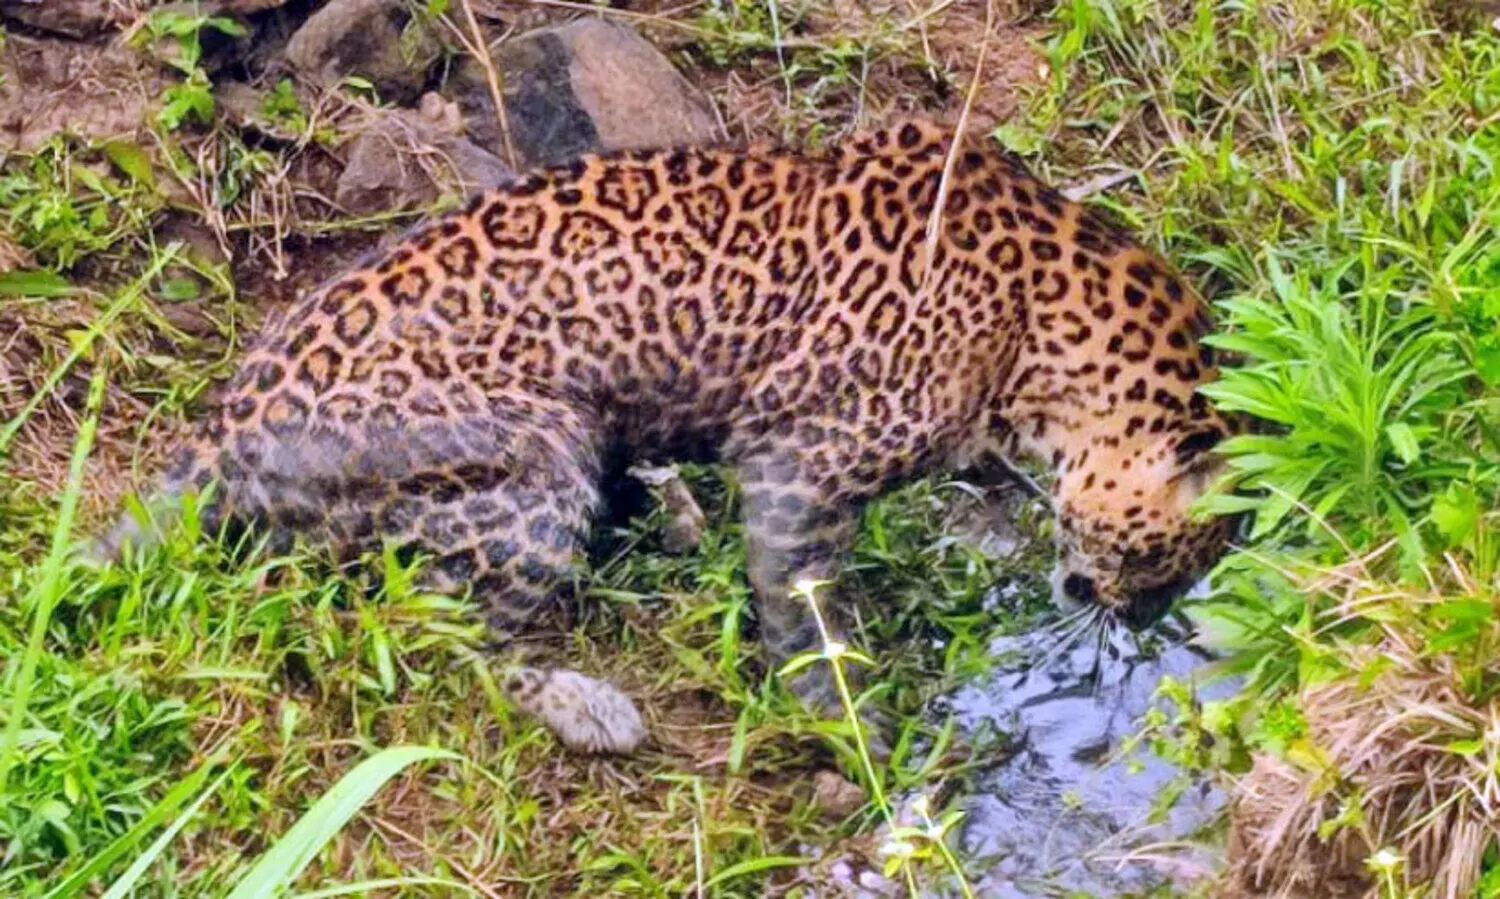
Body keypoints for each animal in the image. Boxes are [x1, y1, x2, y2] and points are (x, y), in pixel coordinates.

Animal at [93, 120, 1241, 753]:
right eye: (1164, 559)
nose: (1136, 617)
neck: (1043, 336)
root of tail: (225, 427)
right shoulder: (799, 468)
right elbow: (807, 616)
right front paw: (856, 735)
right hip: (533, 458)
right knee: (427, 631)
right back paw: (592, 706)